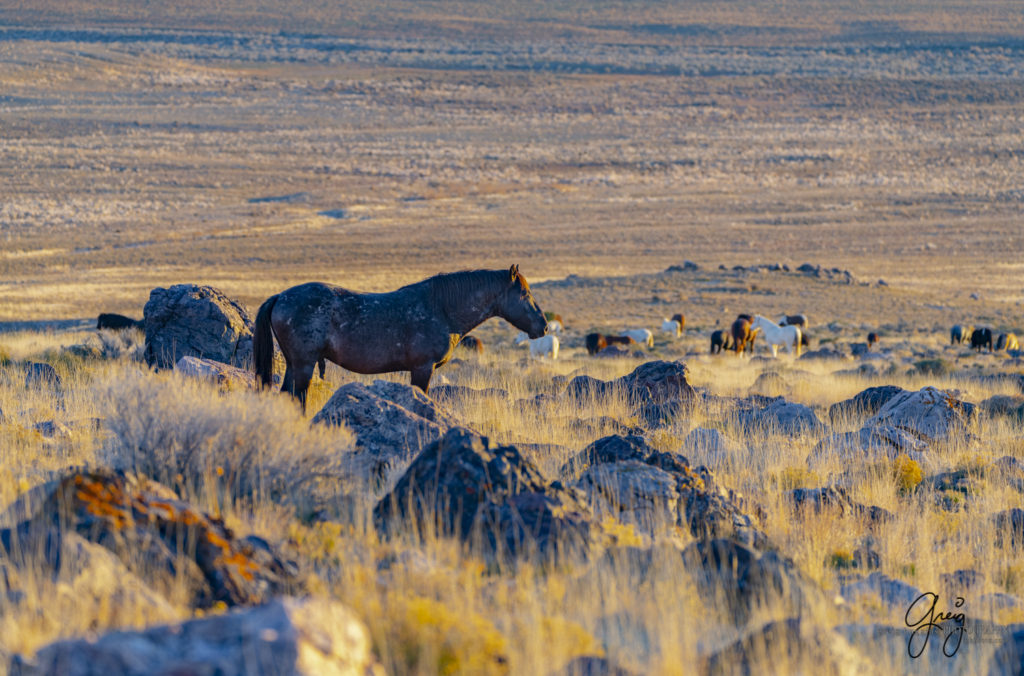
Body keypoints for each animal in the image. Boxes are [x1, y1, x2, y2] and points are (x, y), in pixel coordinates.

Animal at [252, 266, 548, 409]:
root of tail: (280, 297)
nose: (544, 327)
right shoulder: (422, 369)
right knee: (297, 397)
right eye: (524, 294)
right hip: (304, 364)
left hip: (295, 364)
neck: (441, 308)